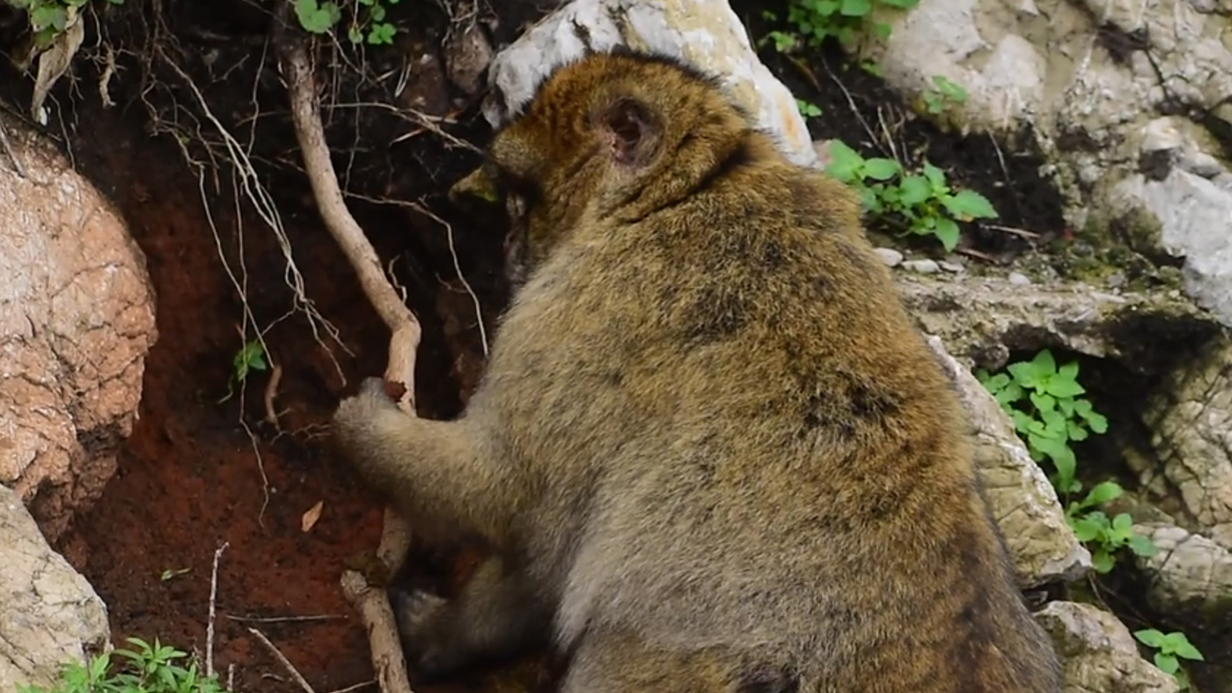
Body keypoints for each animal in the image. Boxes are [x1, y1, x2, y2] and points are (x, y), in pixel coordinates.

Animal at [332, 48, 1064, 693]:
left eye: (520, 195)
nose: (511, 244)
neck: (686, 191)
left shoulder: (580, 313)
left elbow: (516, 504)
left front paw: (367, 432)